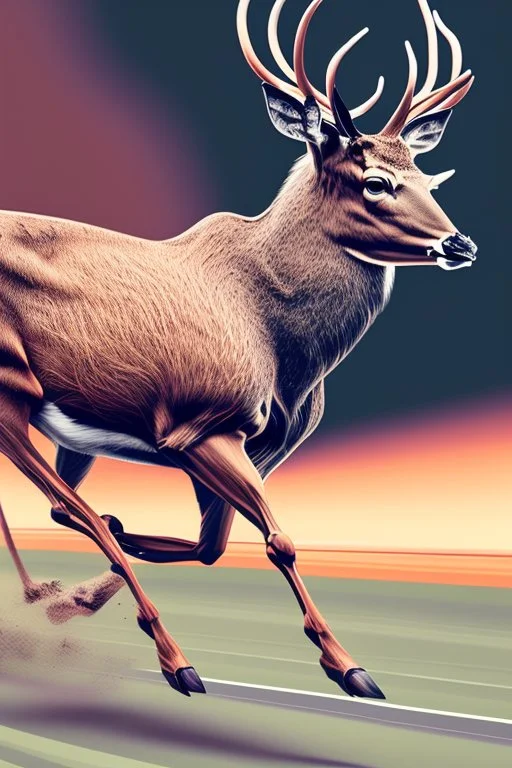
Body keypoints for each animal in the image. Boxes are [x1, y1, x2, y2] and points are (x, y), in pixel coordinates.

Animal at [0, 0, 476, 700]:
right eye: (375, 181)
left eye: (428, 176)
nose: (460, 245)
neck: (284, 346)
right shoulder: (202, 423)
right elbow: (278, 541)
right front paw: (349, 666)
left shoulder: (261, 445)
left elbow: (213, 546)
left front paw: (87, 588)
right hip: (13, 385)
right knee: (70, 507)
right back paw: (171, 656)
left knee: (63, 506)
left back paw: (55, 595)